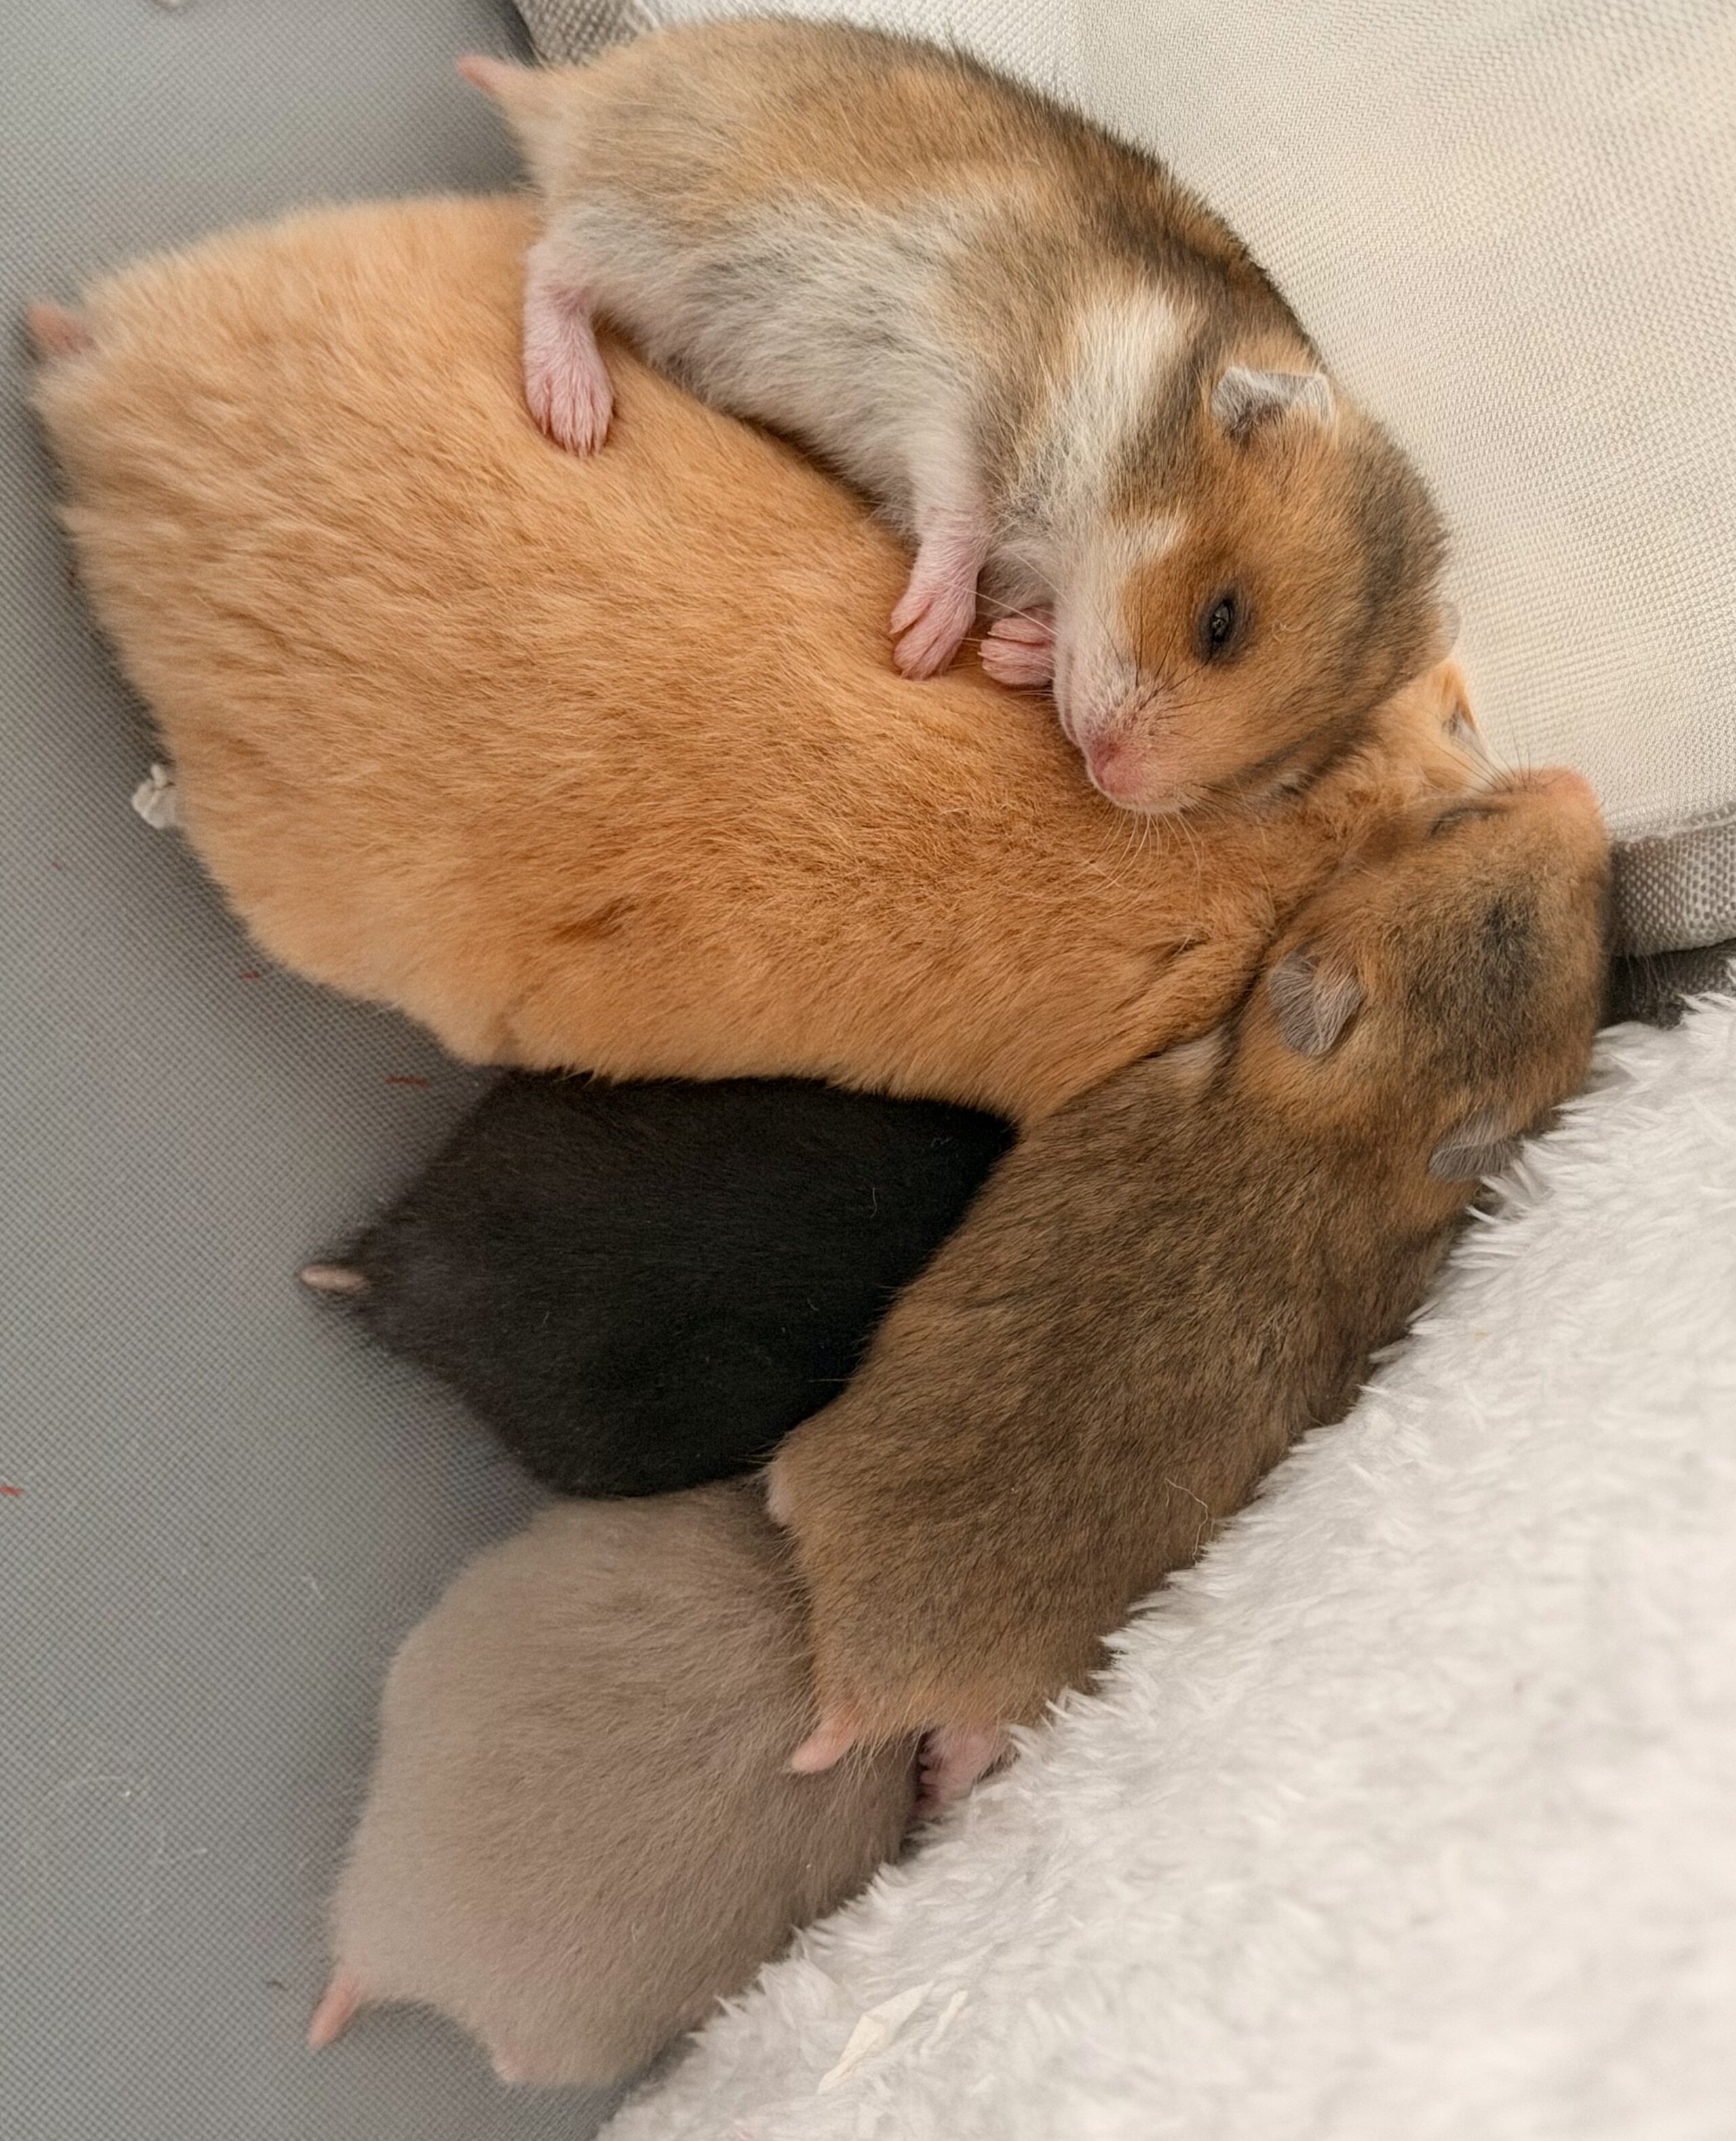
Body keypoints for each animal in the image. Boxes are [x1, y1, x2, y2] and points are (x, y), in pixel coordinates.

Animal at [461, 23, 1447, 813]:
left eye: (1288, 767)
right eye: (1221, 620)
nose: (1112, 780)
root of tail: (573, 92)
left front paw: (1010, 652)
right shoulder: (959, 396)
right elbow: (959, 519)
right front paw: (921, 647)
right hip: (646, 231)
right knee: (548, 265)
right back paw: (575, 412)